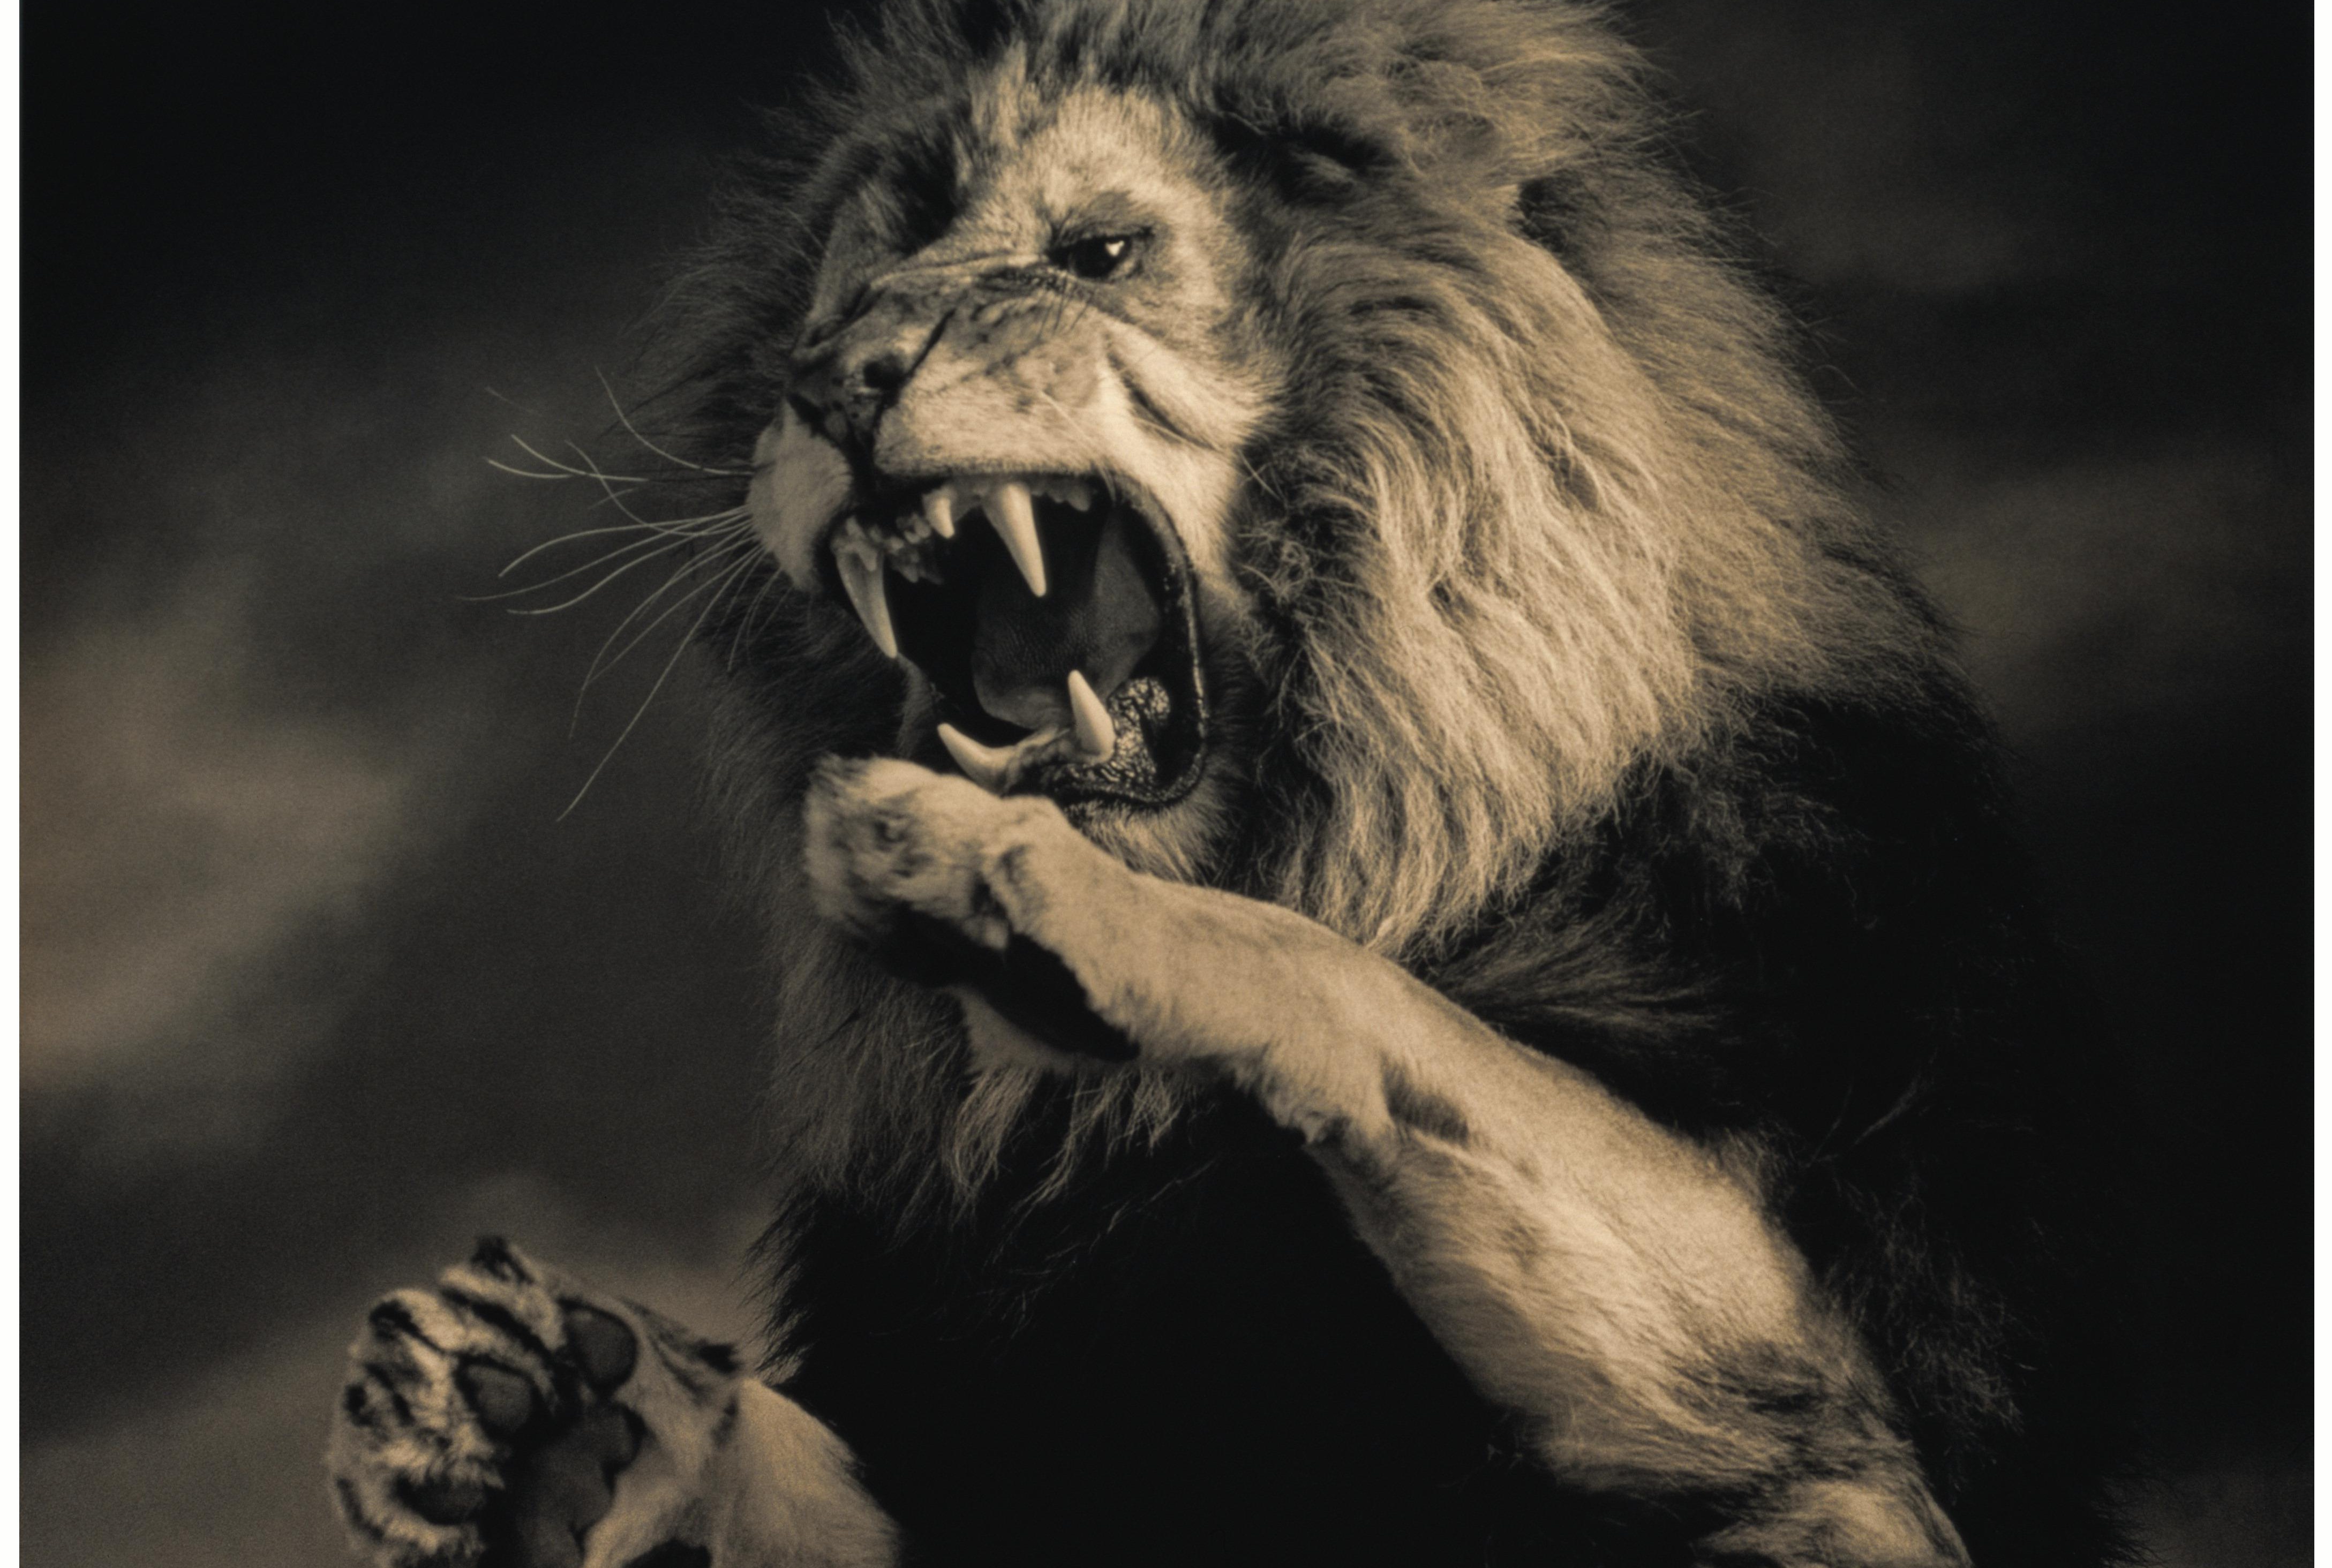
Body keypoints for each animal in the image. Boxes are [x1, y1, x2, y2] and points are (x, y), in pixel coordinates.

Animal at [325, 1, 2132, 1564]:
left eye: (1099, 256)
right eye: (831, 305)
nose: (832, 382)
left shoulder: (1830, 1387)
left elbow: (1359, 995)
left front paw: (985, 878)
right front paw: (532, 1400)